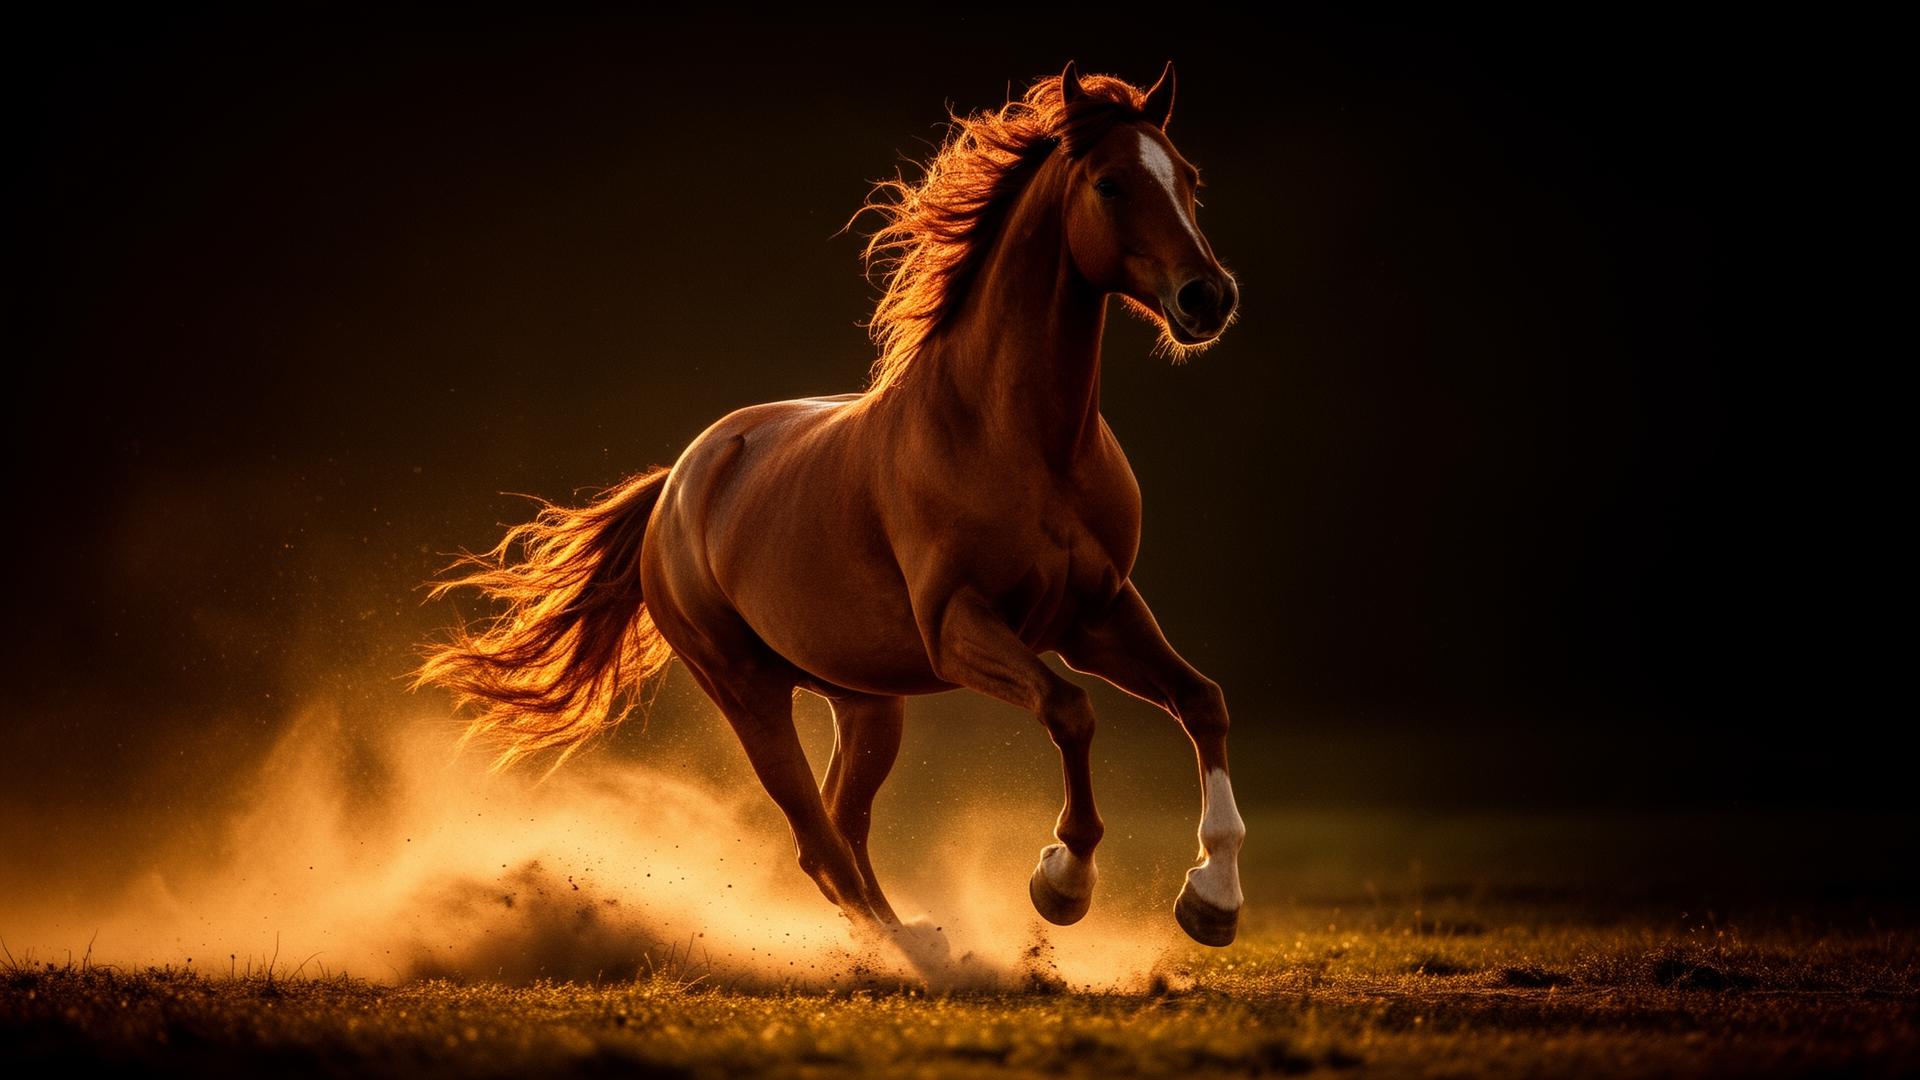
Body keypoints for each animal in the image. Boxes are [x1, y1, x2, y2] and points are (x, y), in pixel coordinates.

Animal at [415, 61, 1246, 959]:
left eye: (1188, 178)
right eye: (1110, 182)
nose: (1208, 297)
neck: (1020, 440)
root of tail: (676, 483)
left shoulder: (1096, 613)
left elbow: (1201, 699)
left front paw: (1213, 900)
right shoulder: (961, 628)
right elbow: (1070, 710)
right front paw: (1063, 881)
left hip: (865, 699)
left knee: (844, 826)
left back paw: (917, 939)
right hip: (748, 691)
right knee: (818, 842)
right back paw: (918, 955)